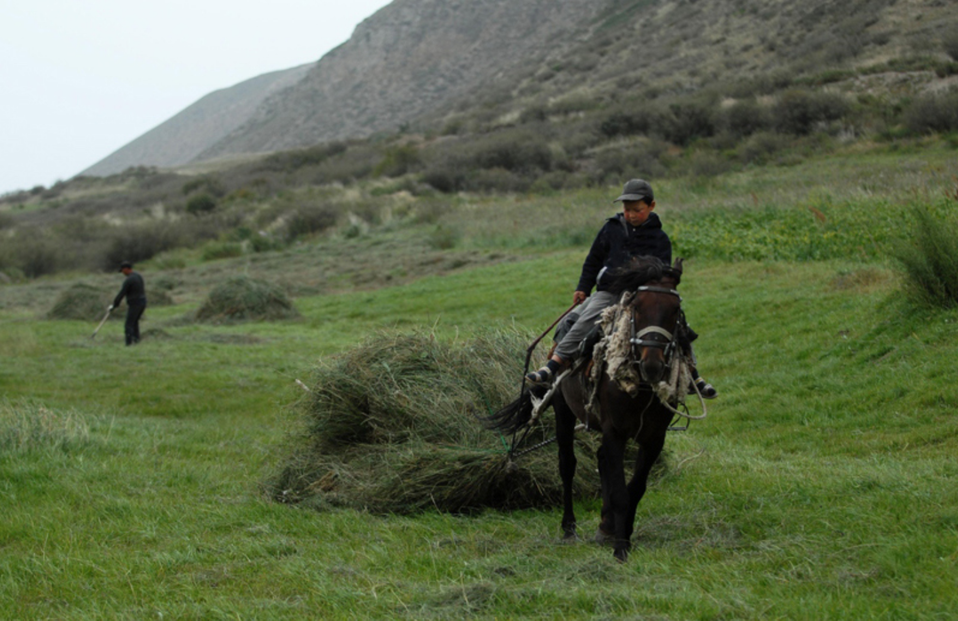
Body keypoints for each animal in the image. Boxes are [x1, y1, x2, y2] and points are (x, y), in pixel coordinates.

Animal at [488, 256, 691, 562]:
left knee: (601, 460)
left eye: (675, 309)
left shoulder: (654, 437)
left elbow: (635, 488)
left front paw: (621, 533)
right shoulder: (615, 431)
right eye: (638, 307)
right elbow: (619, 491)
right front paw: (621, 549)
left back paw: (605, 526)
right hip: (564, 412)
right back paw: (569, 528)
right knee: (567, 465)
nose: (652, 364)